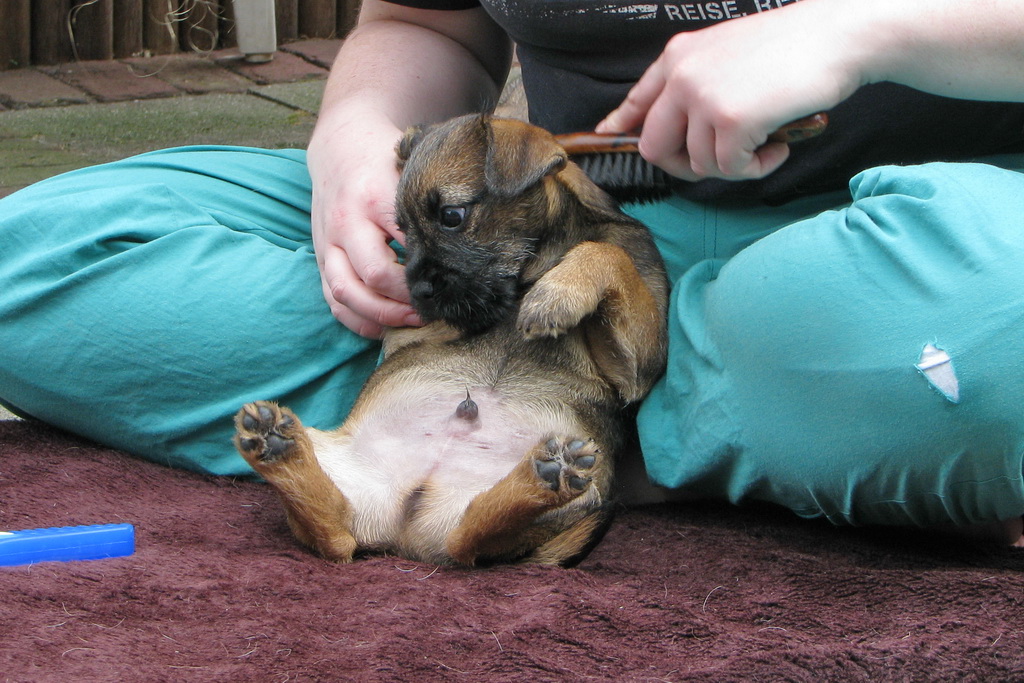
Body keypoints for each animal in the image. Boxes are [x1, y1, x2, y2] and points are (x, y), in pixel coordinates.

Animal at [233, 114, 668, 566]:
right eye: (402, 229)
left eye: (451, 216)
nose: (418, 290)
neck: (534, 268)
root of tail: (406, 529)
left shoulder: (639, 367)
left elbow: (608, 253)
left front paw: (556, 294)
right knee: (345, 533)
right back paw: (278, 448)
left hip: (587, 498)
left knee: (467, 536)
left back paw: (545, 479)